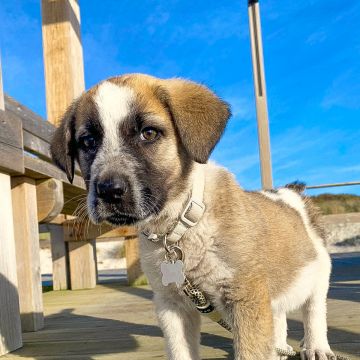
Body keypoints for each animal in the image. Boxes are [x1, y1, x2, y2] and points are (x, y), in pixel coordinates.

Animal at [50, 74, 334, 360]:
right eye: (88, 142)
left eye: (148, 133)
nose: (108, 191)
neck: (180, 226)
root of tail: (292, 192)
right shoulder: (173, 305)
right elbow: (180, 351)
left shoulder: (246, 298)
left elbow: (252, 351)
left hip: (319, 273)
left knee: (314, 311)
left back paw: (316, 346)